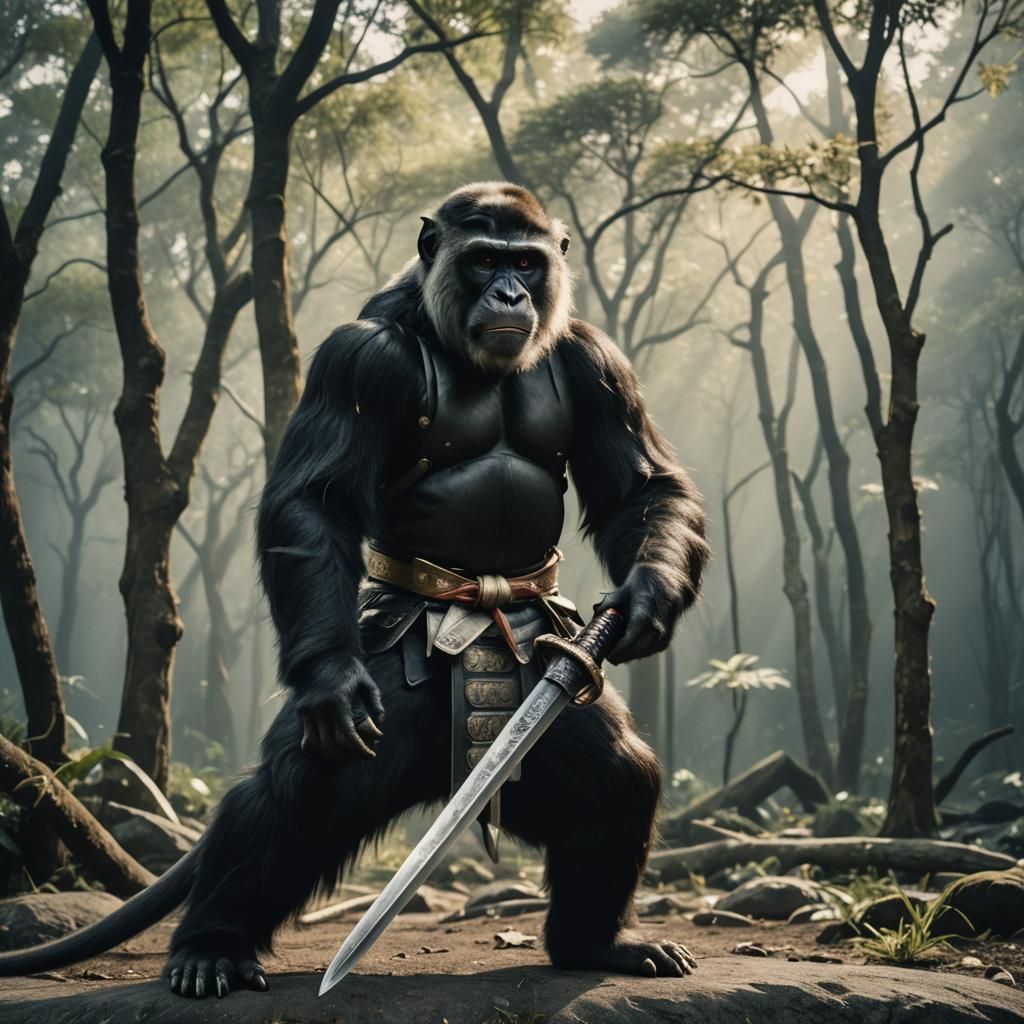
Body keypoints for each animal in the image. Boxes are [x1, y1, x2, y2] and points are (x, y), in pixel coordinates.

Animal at [0, 182, 709, 998]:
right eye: (484, 259)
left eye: (526, 263)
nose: (509, 292)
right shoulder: (356, 360)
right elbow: (315, 503)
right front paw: (333, 682)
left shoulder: (599, 365)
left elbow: (643, 489)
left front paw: (645, 603)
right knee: (297, 787)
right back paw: (211, 945)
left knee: (620, 779)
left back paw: (596, 943)